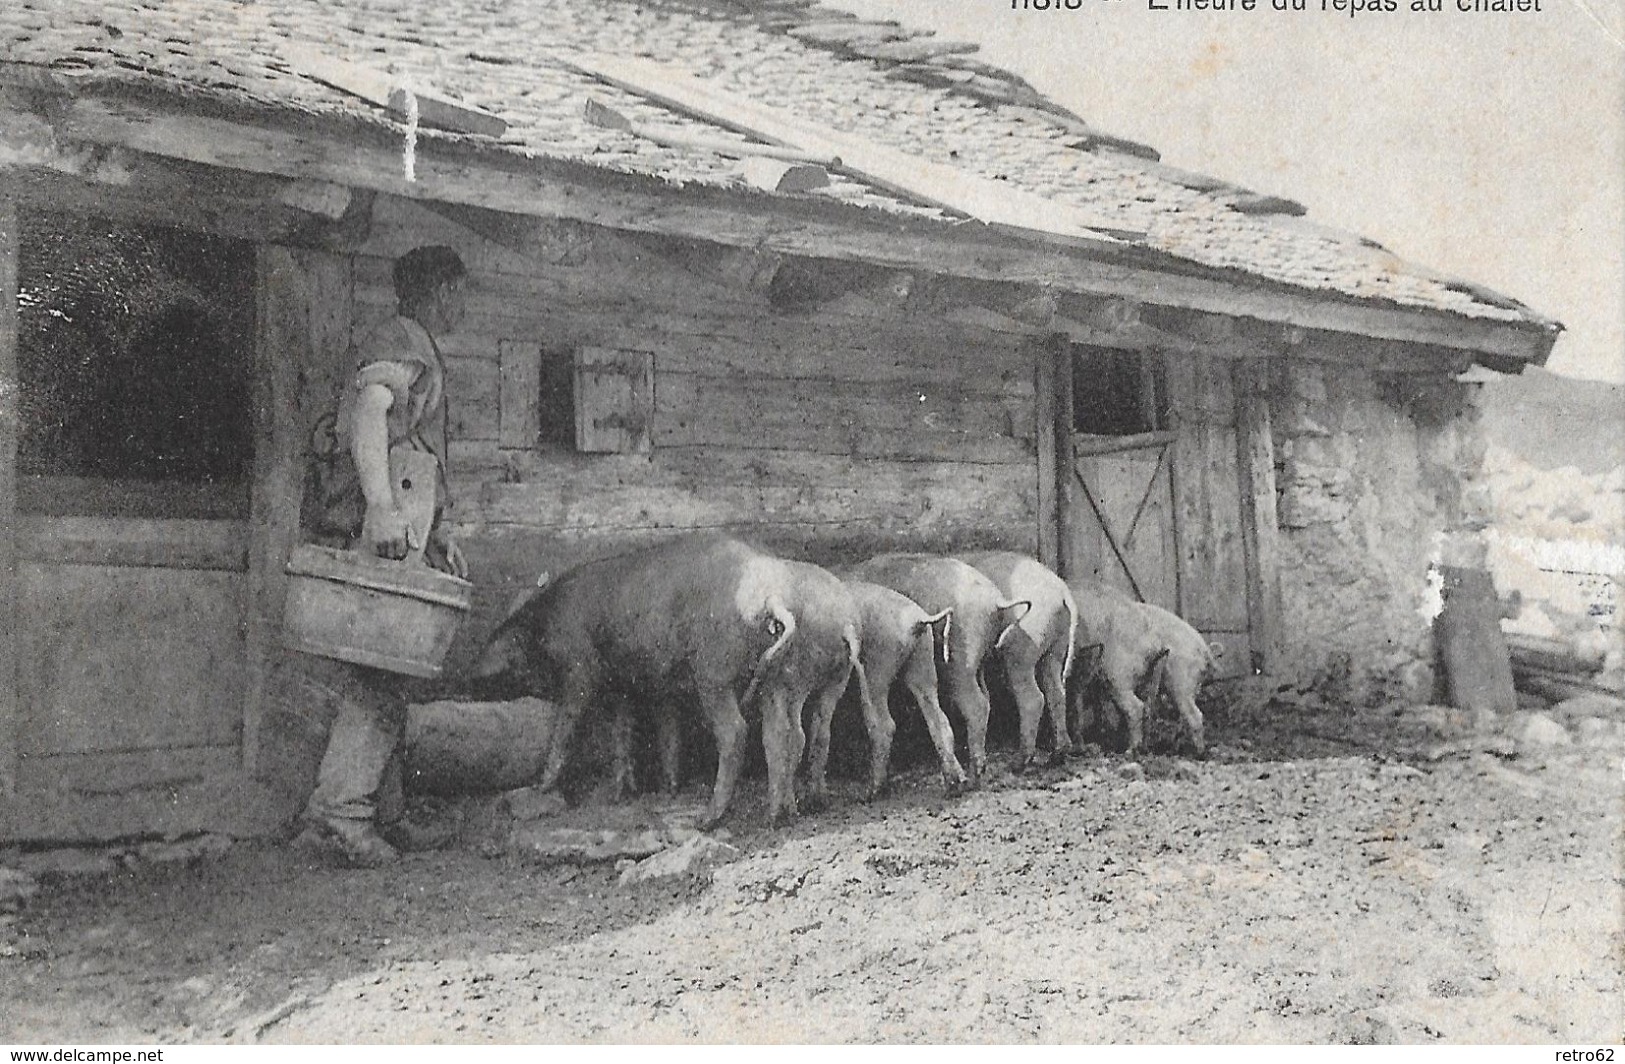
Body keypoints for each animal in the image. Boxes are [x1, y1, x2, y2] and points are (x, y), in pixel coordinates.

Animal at [474, 536, 864, 828]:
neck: (546, 624)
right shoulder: (642, 687)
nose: (475, 672)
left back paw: (708, 820)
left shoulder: (580, 667)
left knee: (737, 732)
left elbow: (569, 723)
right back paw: (792, 810)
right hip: (803, 678)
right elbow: (642, 732)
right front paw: (650, 790)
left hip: (716, 671)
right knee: (802, 732)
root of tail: (770, 597)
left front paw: (541, 786)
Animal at [799, 581, 962, 799]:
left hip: (879, 666)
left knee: (885, 724)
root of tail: (917, 619)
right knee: (939, 720)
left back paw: (871, 792)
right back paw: (955, 785)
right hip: (921, 661)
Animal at [962, 552, 1079, 769]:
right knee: (1057, 692)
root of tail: (1062, 591)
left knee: (1033, 698)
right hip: (1056, 645)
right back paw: (1058, 754)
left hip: (1022, 646)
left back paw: (1019, 762)